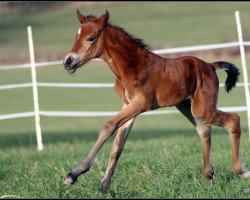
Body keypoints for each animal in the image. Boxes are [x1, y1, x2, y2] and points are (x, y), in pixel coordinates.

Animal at [63, 9, 250, 191]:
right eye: (76, 36)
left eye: (91, 38)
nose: (68, 61)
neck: (131, 66)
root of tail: (210, 66)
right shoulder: (129, 104)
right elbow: (118, 145)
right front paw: (104, 185)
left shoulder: (141, 103)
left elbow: (108, 126)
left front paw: (74, 174)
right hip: (186, 106)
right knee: (204, 130)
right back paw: (208, 177)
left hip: (202, 108)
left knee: (233, 120)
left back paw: (241, 171)